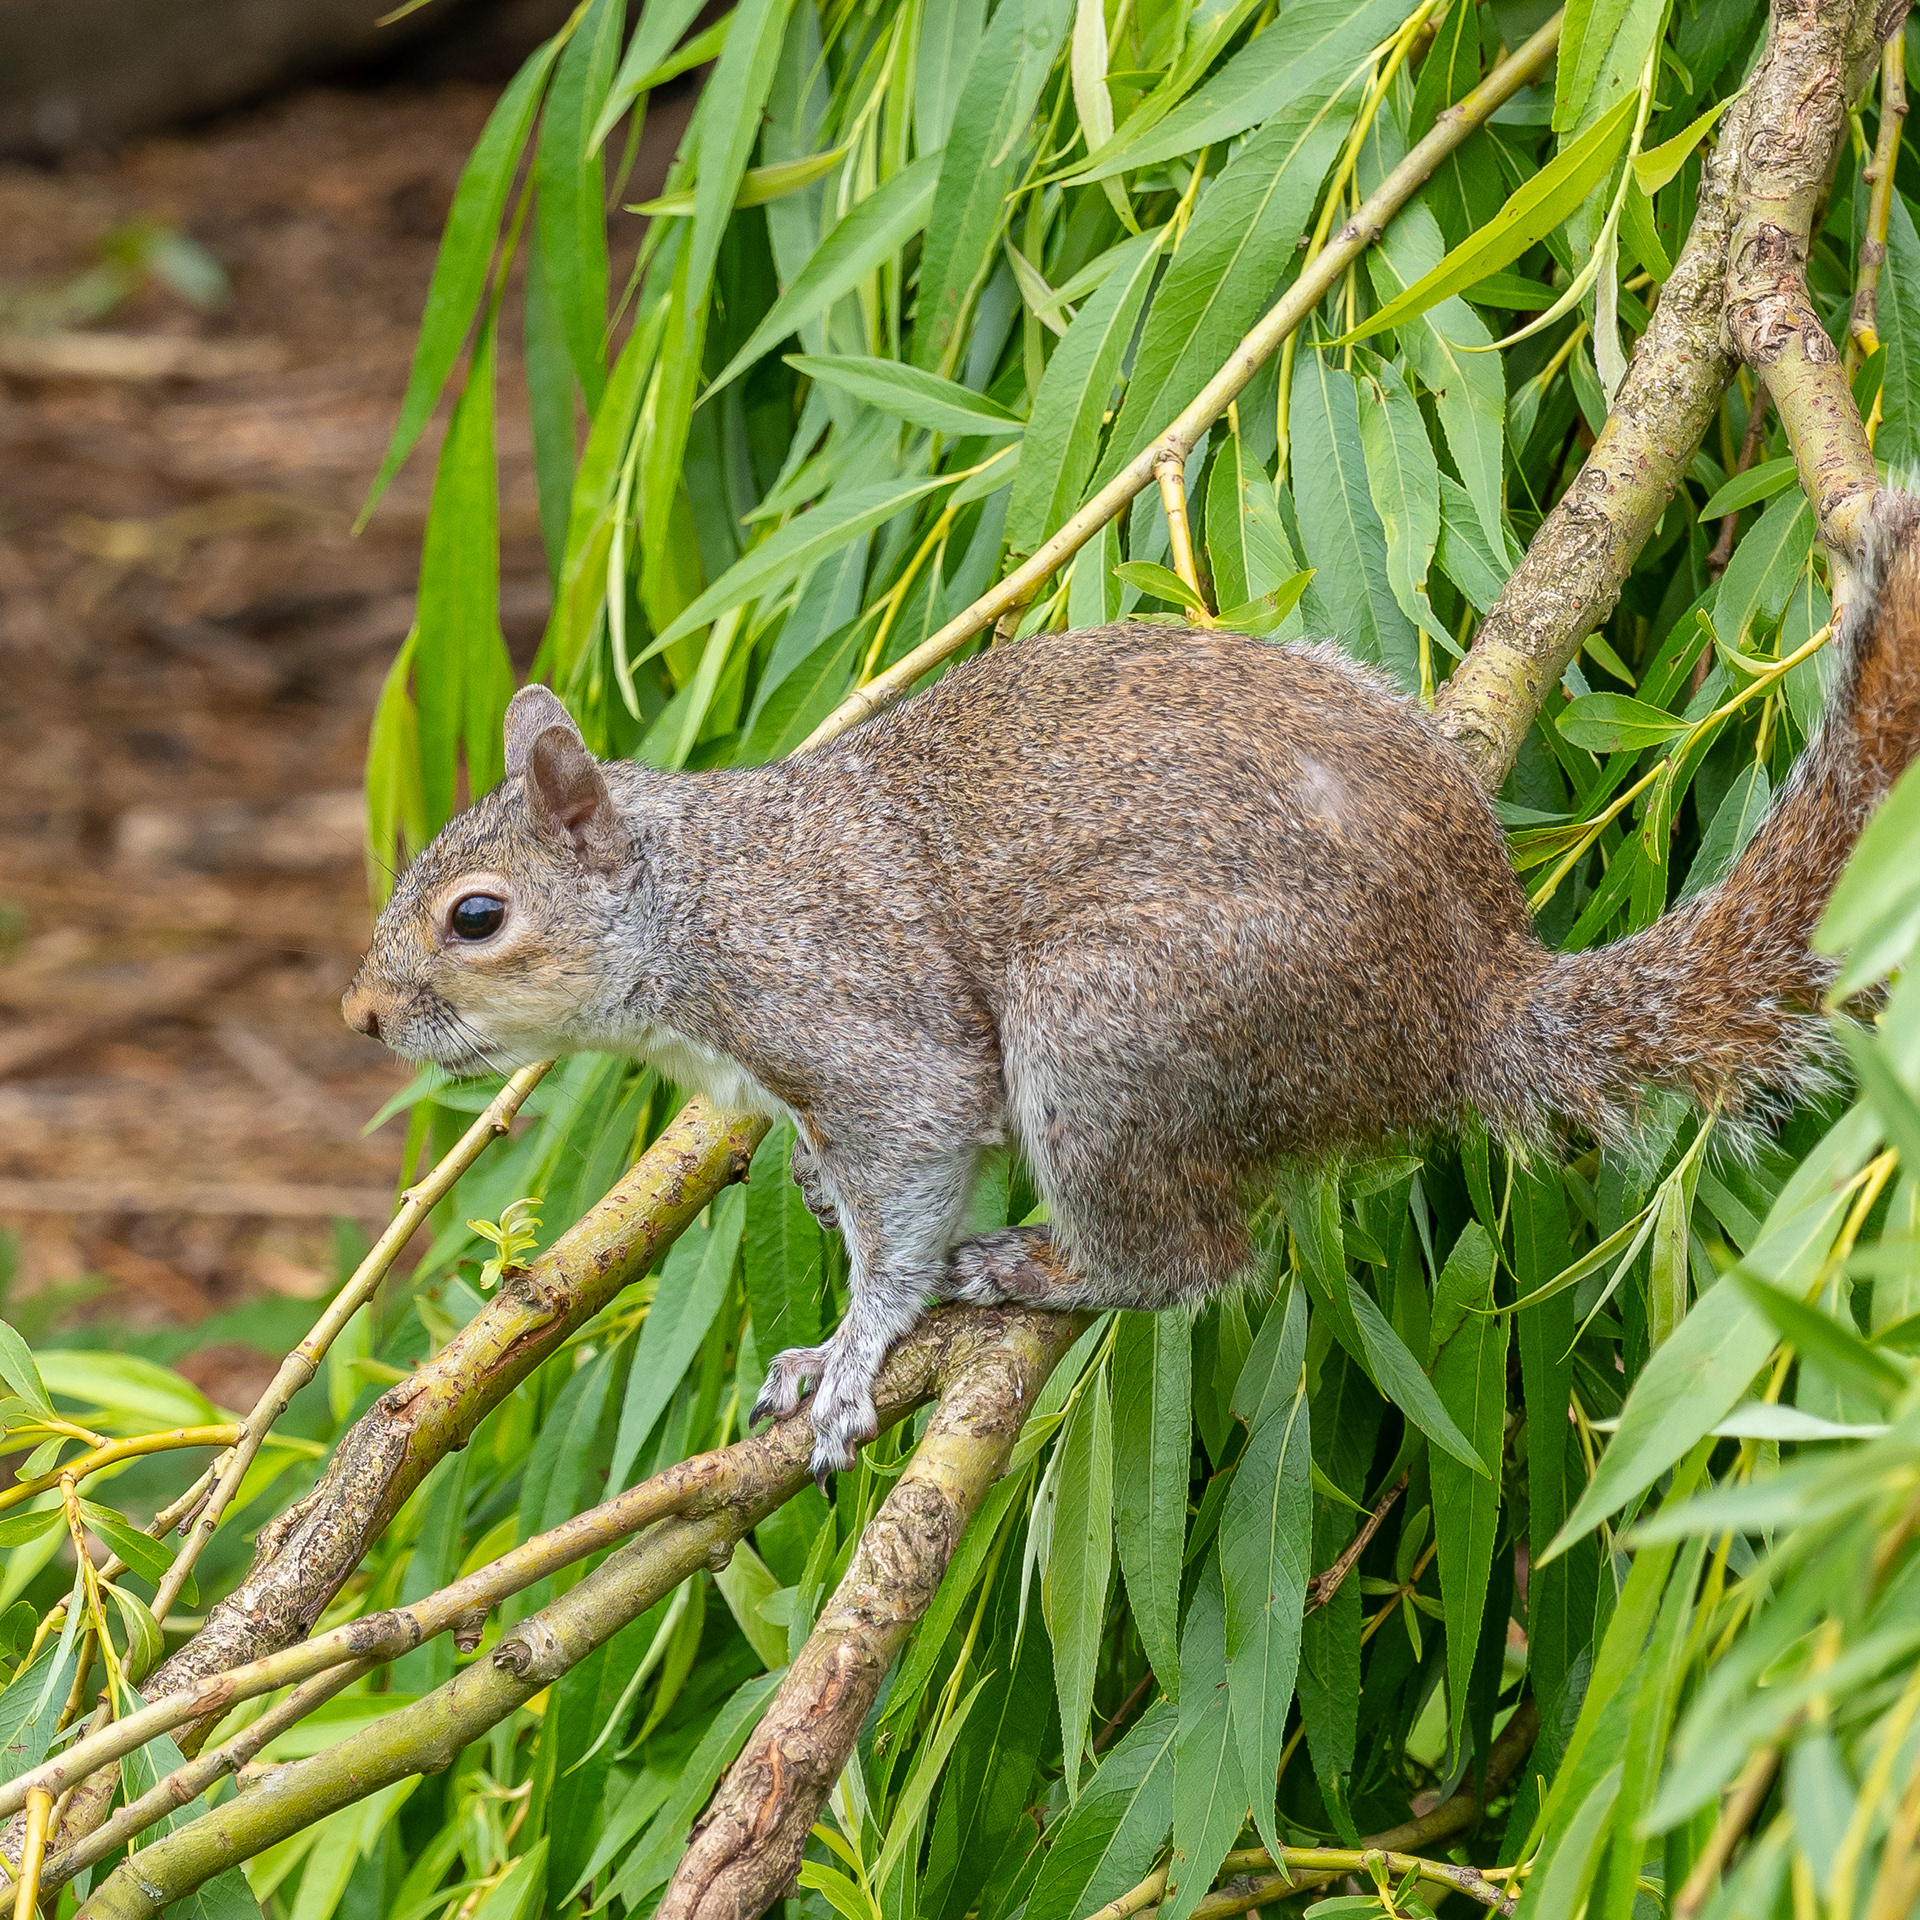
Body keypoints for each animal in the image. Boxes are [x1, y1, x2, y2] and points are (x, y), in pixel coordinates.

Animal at [344, 490, 1920, 1481]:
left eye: (475, 917)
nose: (362, 1017)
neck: (692, 905)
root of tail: (1458, 1005)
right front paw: (805, 1199)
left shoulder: (859, 1020)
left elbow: (908, 1183)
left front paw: (849, 1351)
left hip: (1117, 1029)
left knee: (1195, 1262)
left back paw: (1044, 1266)